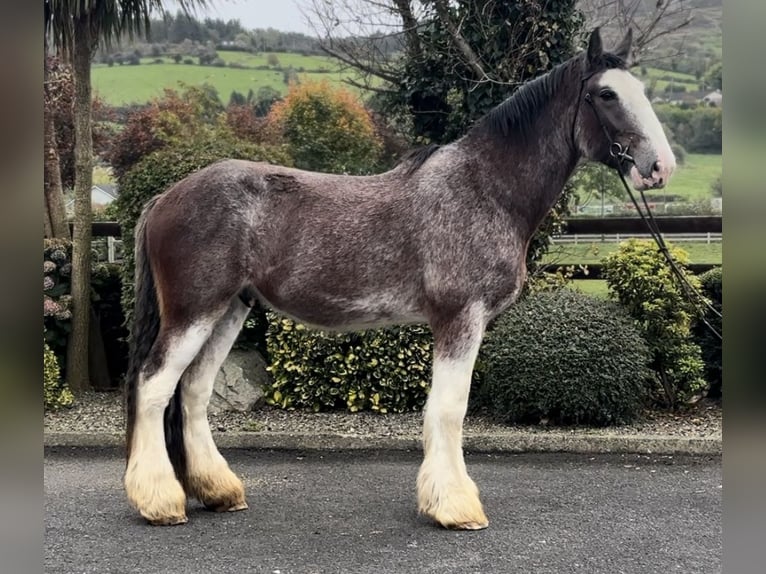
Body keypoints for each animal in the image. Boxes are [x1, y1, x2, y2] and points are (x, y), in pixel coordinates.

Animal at [123, 27, 676, 532]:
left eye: (642, 90)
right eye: (606, 94)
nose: (660, 166)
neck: (485, 188)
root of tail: (166, 197)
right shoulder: (459, 318)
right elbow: (449, 410)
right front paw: (456, 507)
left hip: (228, 309)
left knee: (193, 392)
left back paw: (218, 491)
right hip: (194, 311)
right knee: (153, 387)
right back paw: (160, 502)